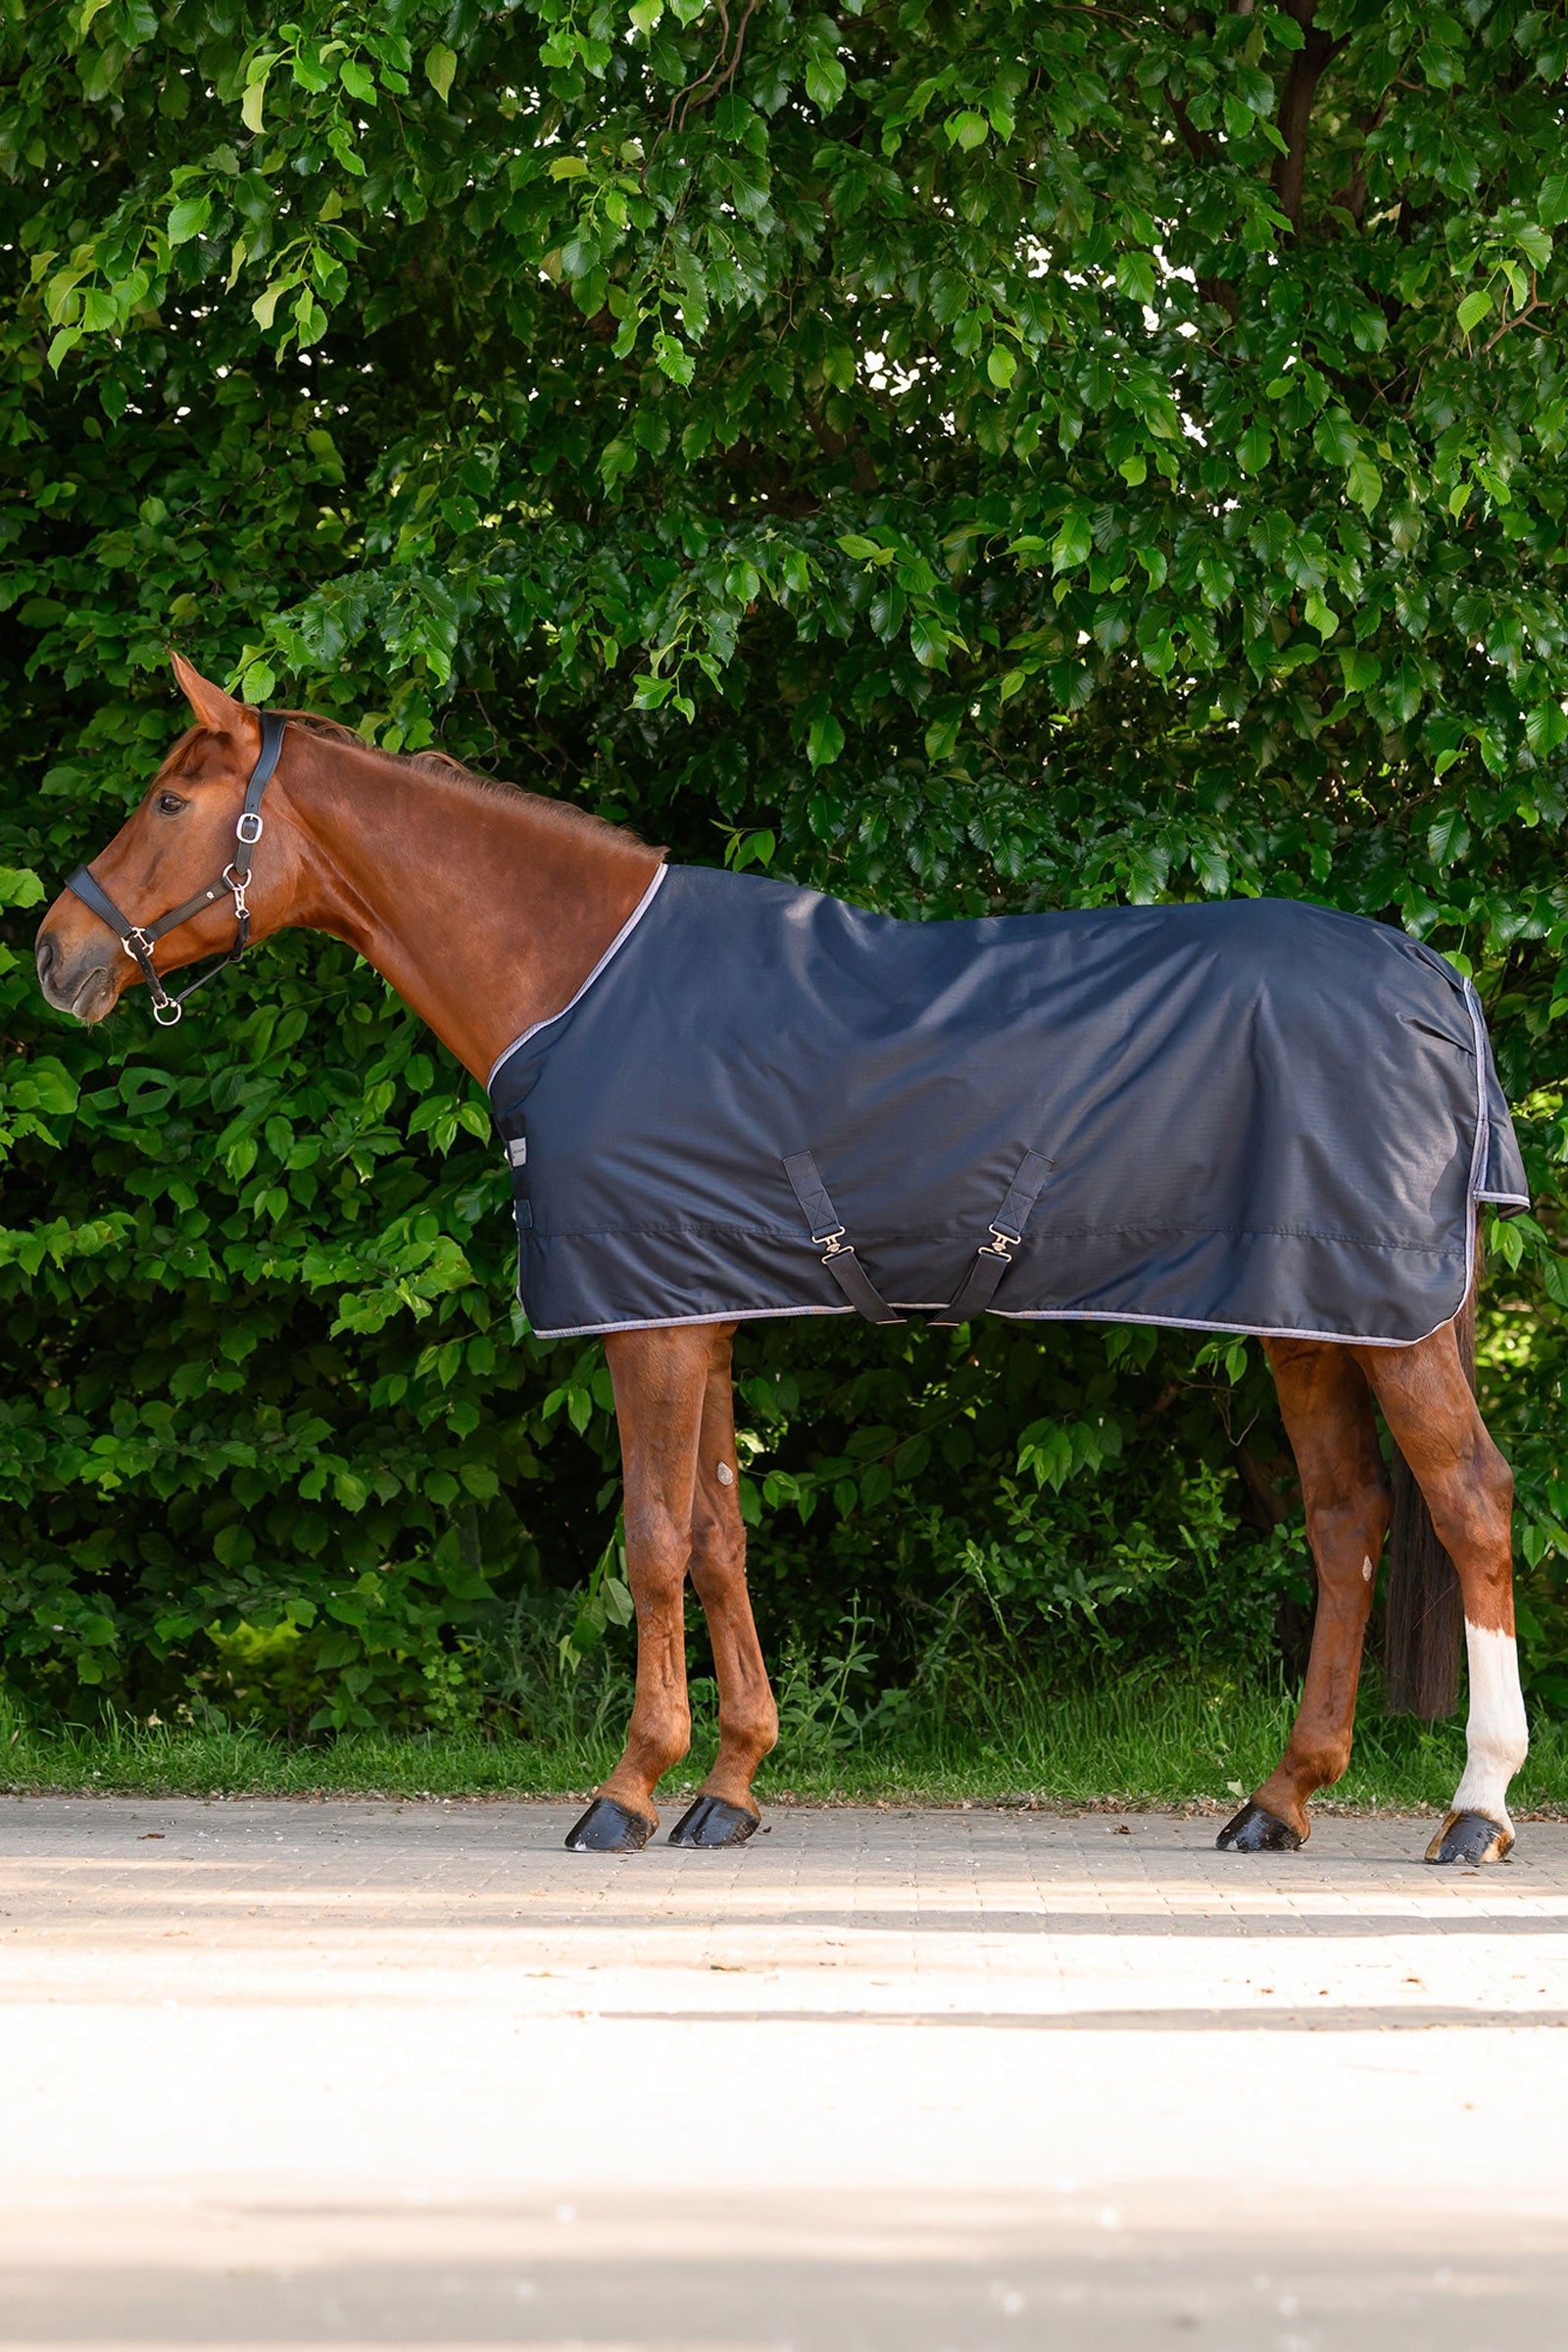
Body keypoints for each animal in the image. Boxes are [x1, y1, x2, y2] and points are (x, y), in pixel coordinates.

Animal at [33, 655, 1529, 1864]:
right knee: (1347, 1520)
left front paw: (627, 1791)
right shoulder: (697, 1306)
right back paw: (1280, 1801)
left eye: (168, 802)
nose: (55, 954)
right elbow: (717, 1538)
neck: (580, 982)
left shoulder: (646, 1323)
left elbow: (649, 1545)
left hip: (1385, 1322)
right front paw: (731, 1786)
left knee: (1468, 1503)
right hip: (1316, 1316)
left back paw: (1476, 1809)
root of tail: (1437, 981)